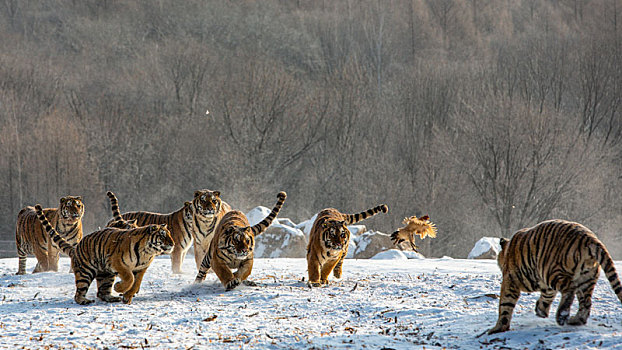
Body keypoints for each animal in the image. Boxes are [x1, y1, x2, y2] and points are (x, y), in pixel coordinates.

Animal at [35, 204, 174, 304]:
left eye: (170, 234)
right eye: (163, 235)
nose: (172, 243)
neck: (148, 252)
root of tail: (76, 248)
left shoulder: (141, 268)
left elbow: (136, 283)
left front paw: (126, 297)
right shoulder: (118, 263)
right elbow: (129, 278)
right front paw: (119, 288)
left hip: (106, 275)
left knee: (102, 292)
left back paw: (112, 298)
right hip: (85, 272)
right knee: (79, 293)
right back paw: (84, 301)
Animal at [490, 219, 622, 334]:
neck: (508, 250)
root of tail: (590, 238)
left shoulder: (510, 280)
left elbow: (505, 304)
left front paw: (498, 328)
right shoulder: (546, 286)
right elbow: (546, 297)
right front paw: (541, 311)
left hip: (552, 271)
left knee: (569, 291)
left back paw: (562, 316)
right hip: (586, 279)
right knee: (586, 302)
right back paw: (576, 320)